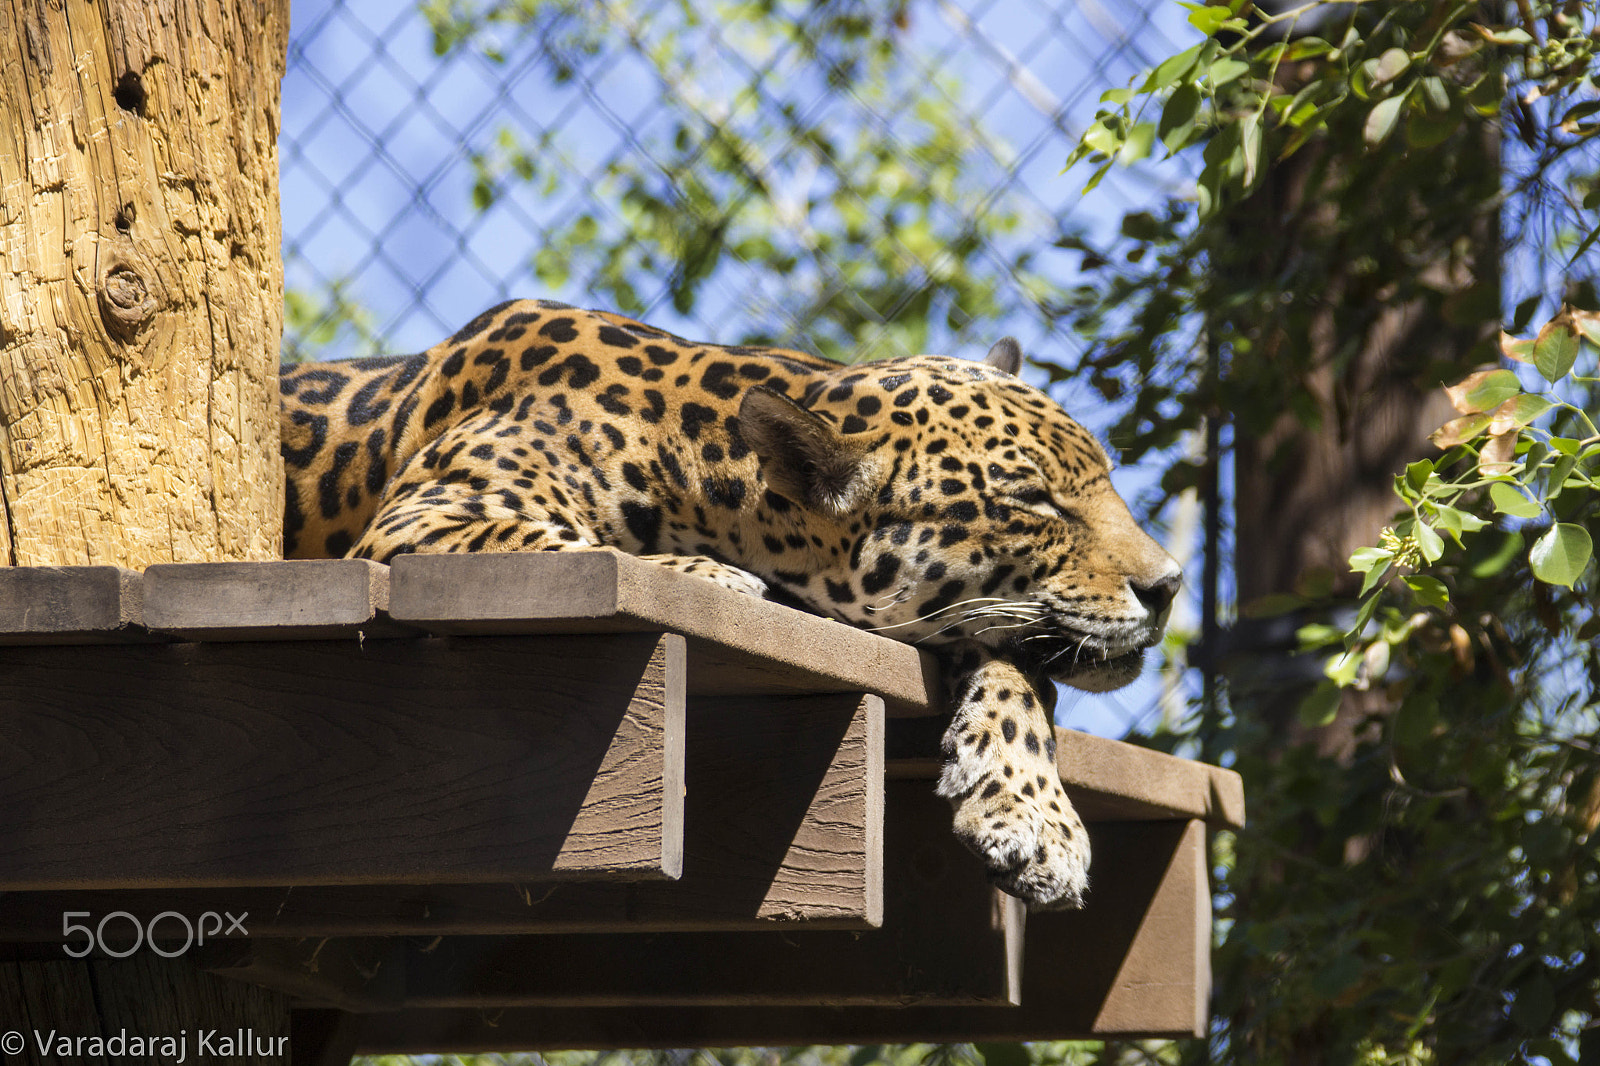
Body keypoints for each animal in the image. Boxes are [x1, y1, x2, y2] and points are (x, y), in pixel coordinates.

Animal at [279, 298, 1181, 908]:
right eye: (1033, 501)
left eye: (1103, 480)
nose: (1170, 585)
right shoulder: (425, 519)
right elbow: (595, 551)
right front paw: (709, 577)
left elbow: (1022, 671)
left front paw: (1038, 820)